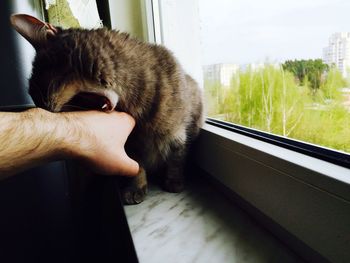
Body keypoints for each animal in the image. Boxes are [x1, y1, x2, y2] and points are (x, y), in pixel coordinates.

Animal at [10, 13, 204, 204]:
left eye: (40, 87)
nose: (44, 109)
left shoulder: (183, 131)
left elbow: (177, 157)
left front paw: (174, 180)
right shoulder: (130, 147)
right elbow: (137, 167)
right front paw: (136, 188)